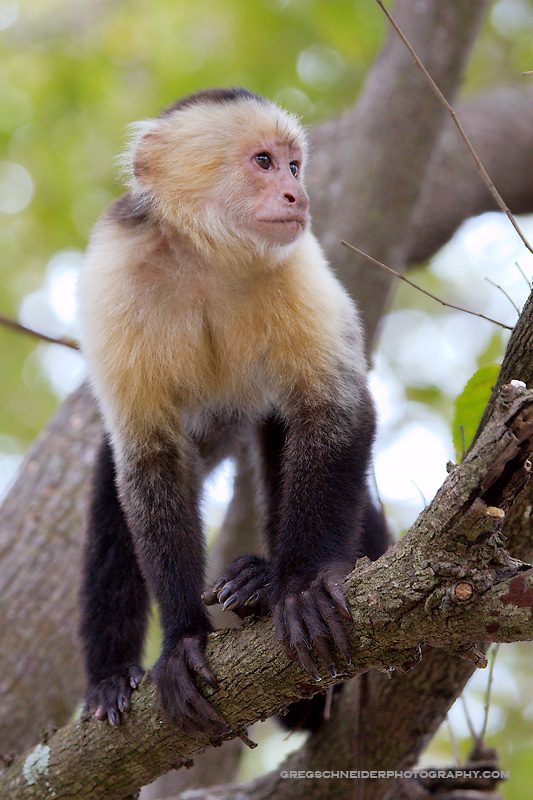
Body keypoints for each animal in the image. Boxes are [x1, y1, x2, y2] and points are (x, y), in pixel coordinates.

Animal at [78, 87, 387, 737]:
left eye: (294, 165)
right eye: (263, 163)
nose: (298, 194)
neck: (207, 254)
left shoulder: (298, 261)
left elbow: (335, 410)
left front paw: (301, 588)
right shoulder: (113, 273)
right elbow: (150, 461)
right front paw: (180, 640)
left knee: (290, 434)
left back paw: (268, 588)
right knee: (112, 487)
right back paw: (111, 677)